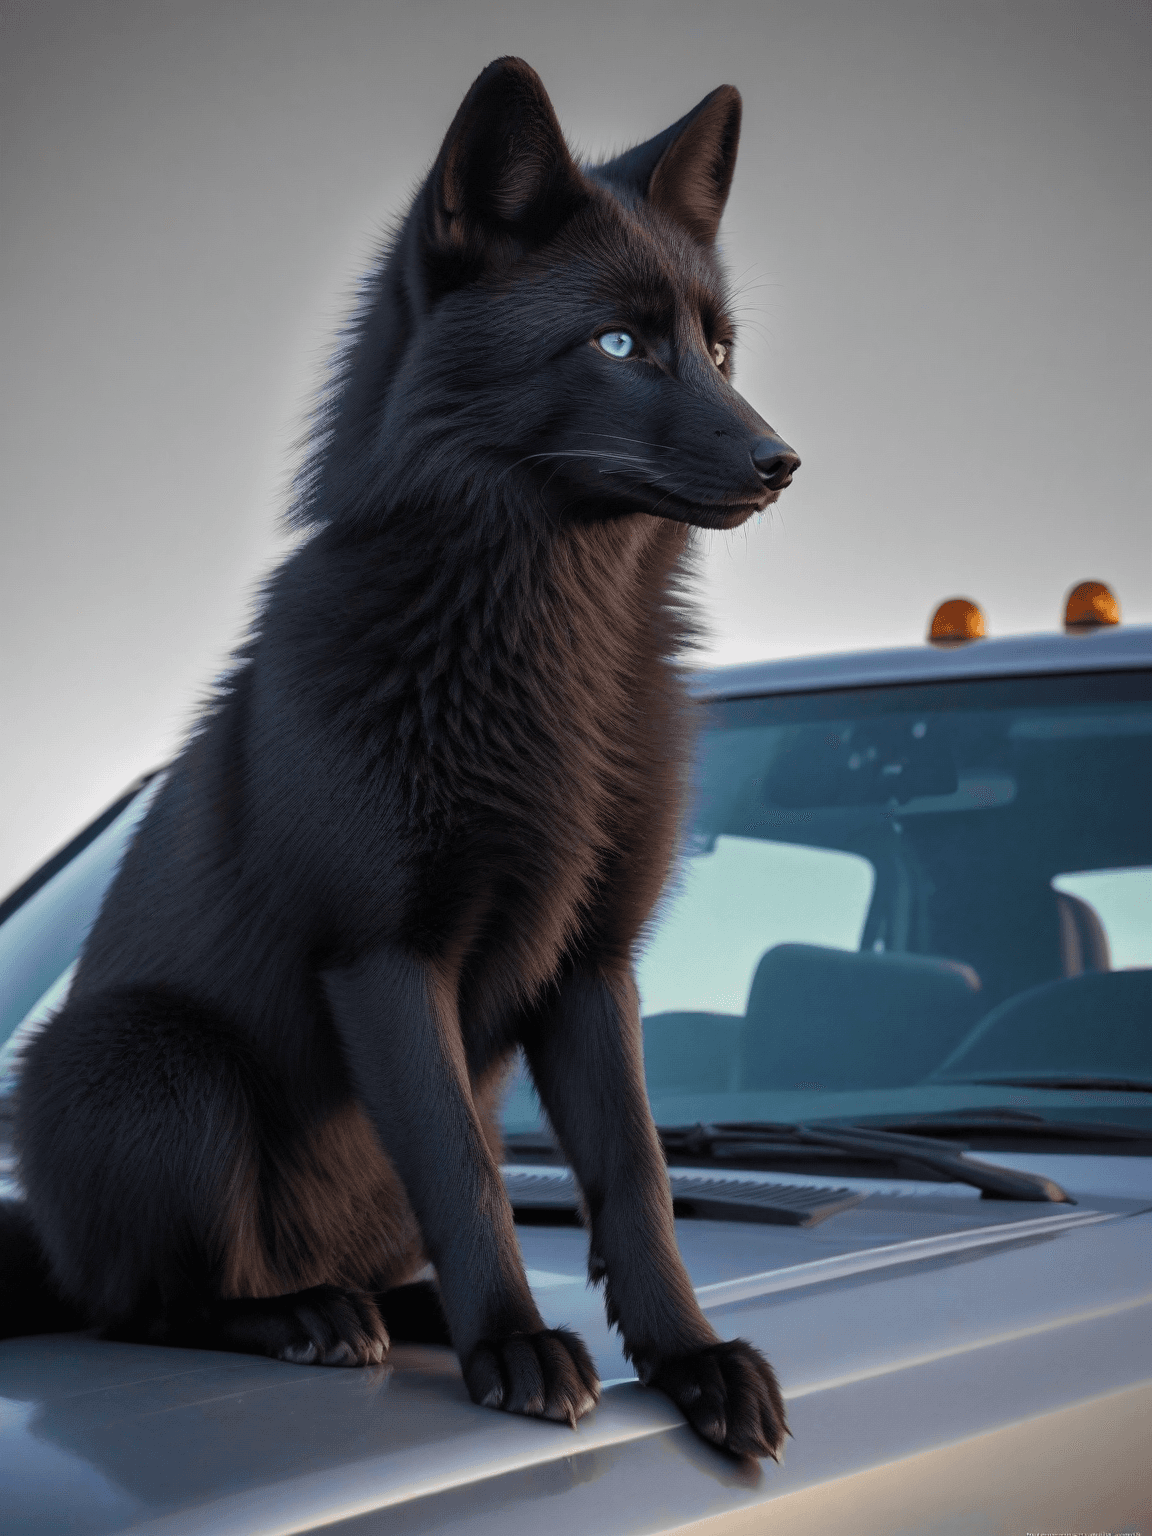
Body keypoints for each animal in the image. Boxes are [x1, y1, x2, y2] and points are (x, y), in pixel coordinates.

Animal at [3, 58, 798, 1459]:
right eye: (617, 344)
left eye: (718, 347)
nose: (781, 461)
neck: (557, 674)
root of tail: (44, 1240)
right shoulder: (380, 952)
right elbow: (465, 1166)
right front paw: (516, 1347)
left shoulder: (594, 963)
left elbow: (637, 1176)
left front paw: (688, 1359)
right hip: (164, 1068)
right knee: (147, 1307)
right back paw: (311, 1317)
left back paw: (411, 1308)